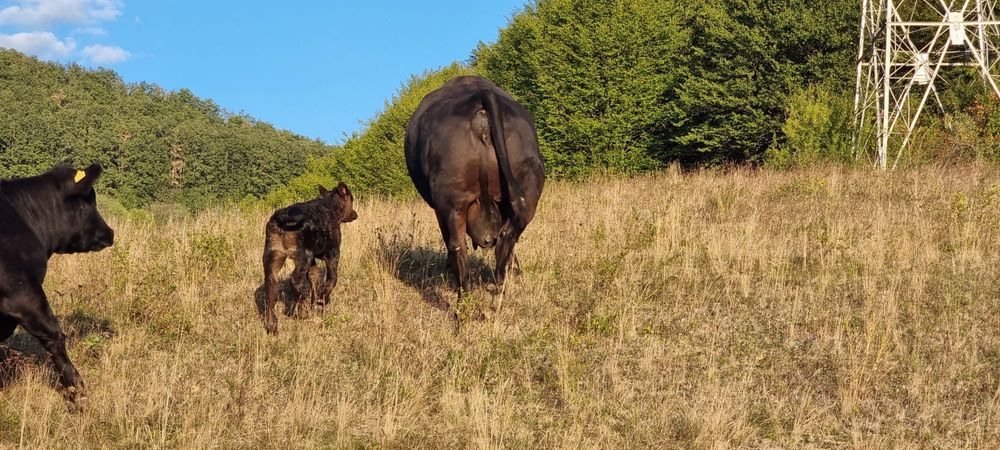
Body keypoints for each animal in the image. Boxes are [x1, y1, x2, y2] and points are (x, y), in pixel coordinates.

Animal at [261, 182, 358, 335]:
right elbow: (332, 278)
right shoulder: (332, 252)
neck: (333, 208)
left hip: (272, 256)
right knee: (295, 281)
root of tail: (282, 220)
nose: (354, 214)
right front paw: (322, 300)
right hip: (303, 256)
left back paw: (272, 325)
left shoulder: (314, 257)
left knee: (270, 289)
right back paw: (302, 312)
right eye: (351, 199)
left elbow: (314, 276)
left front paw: (314, 303)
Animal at [405, 76, 544, 313]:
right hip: (528, 187)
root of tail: (481, 96)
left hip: (452, 202)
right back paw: (499, 293)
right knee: (508, 237)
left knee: (457, 245)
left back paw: (464, 306)